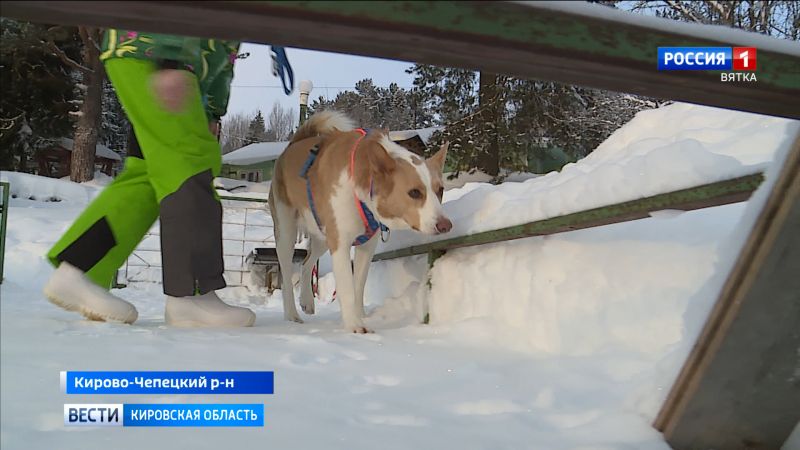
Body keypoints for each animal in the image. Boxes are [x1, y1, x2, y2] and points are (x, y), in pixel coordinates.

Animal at [269, 110, 452, 333]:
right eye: (414, 192)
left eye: (440, 189)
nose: (445, 225)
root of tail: (293, 144)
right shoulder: (340, 243)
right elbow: (347, 289)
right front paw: (355, 326)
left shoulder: (366, 245)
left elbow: (358, 286)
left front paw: (358, 316)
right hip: (287, 232)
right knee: (287, 276)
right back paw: (292, 315)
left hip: (323, 234)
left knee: (306, 263)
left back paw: (307, 301)